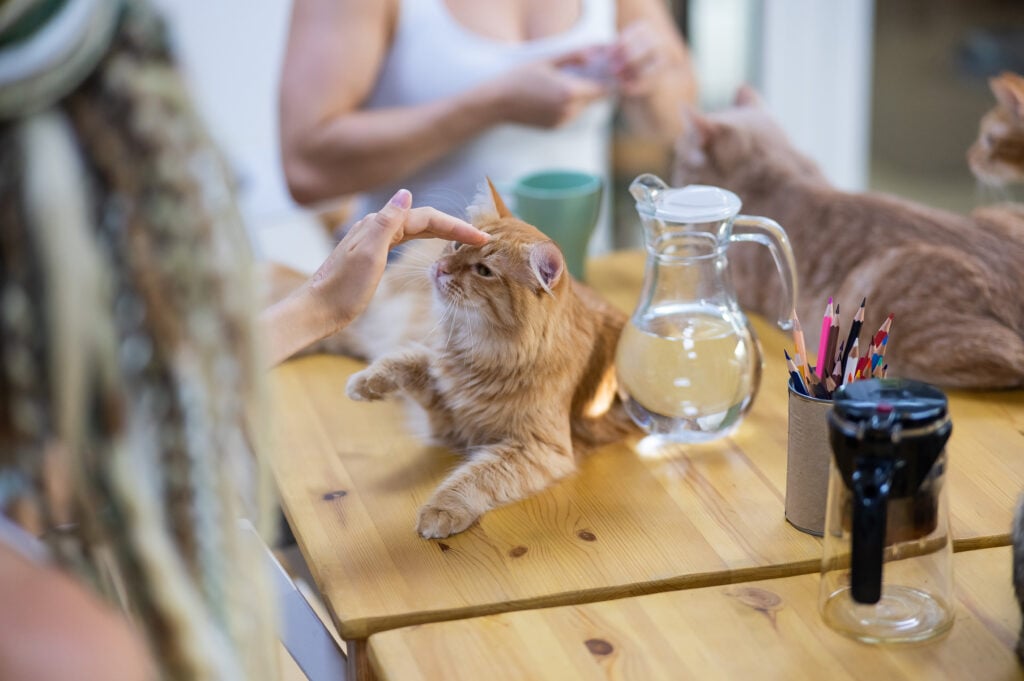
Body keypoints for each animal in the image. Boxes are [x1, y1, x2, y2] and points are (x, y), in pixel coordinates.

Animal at [335, 180, 630, 536]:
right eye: (457, 244)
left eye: (483, 271)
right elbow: (409, 359)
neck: (482, 353)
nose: (441, 268)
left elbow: (477, 476)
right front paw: (365, 383)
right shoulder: (445, 403)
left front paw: (442, 510)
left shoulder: (537, 448)